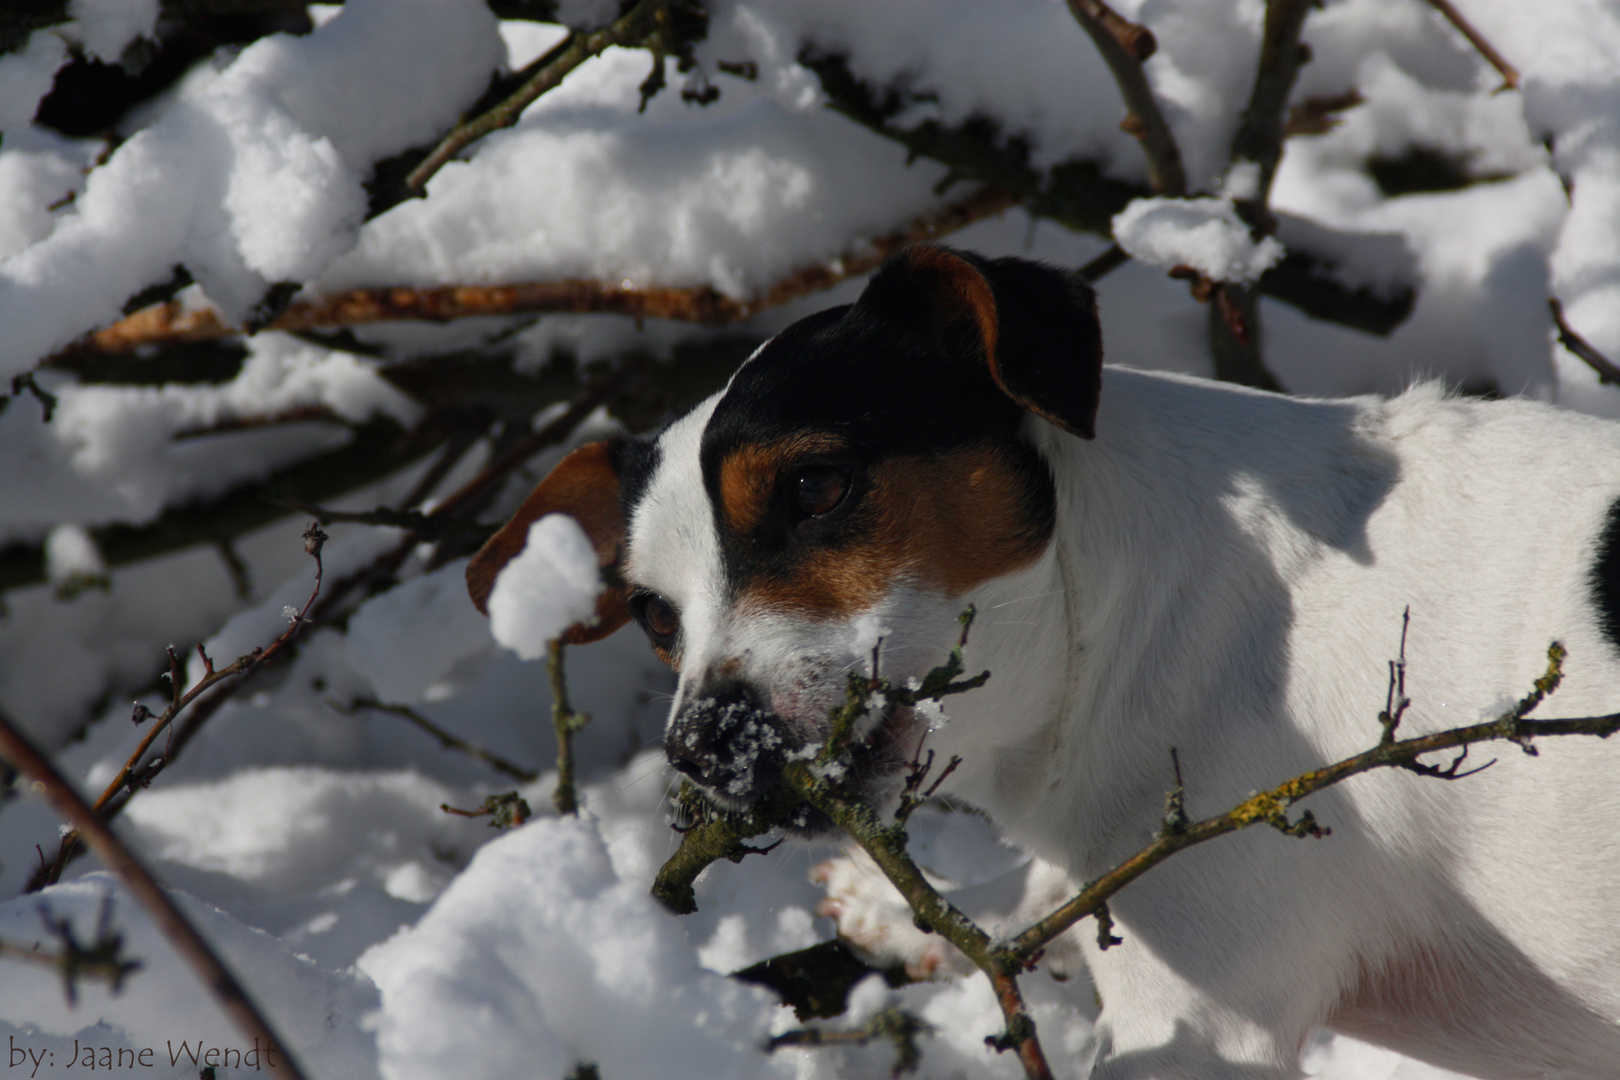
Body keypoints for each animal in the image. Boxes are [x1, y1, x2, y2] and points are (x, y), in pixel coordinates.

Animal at [466, 247, 1620, 1080]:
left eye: (815, 486)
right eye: (653, 614)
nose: (705, 746)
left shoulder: (1201, 1017)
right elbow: (1052, 902)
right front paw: (919, 918)